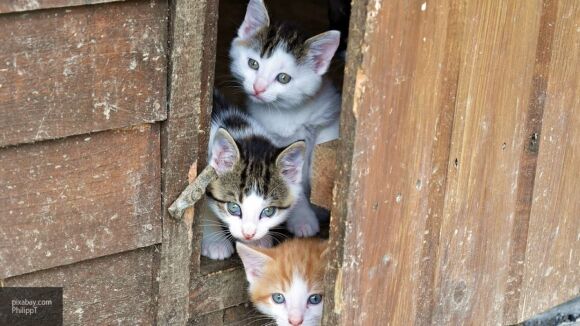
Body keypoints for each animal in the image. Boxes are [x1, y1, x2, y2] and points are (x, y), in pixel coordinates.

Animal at [230, 0, 342, 237]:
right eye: (253, 64)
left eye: (283, 78)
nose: (258, 88)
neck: (288, 112)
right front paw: (303, 220)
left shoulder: (329, 115)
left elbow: (323, 152)